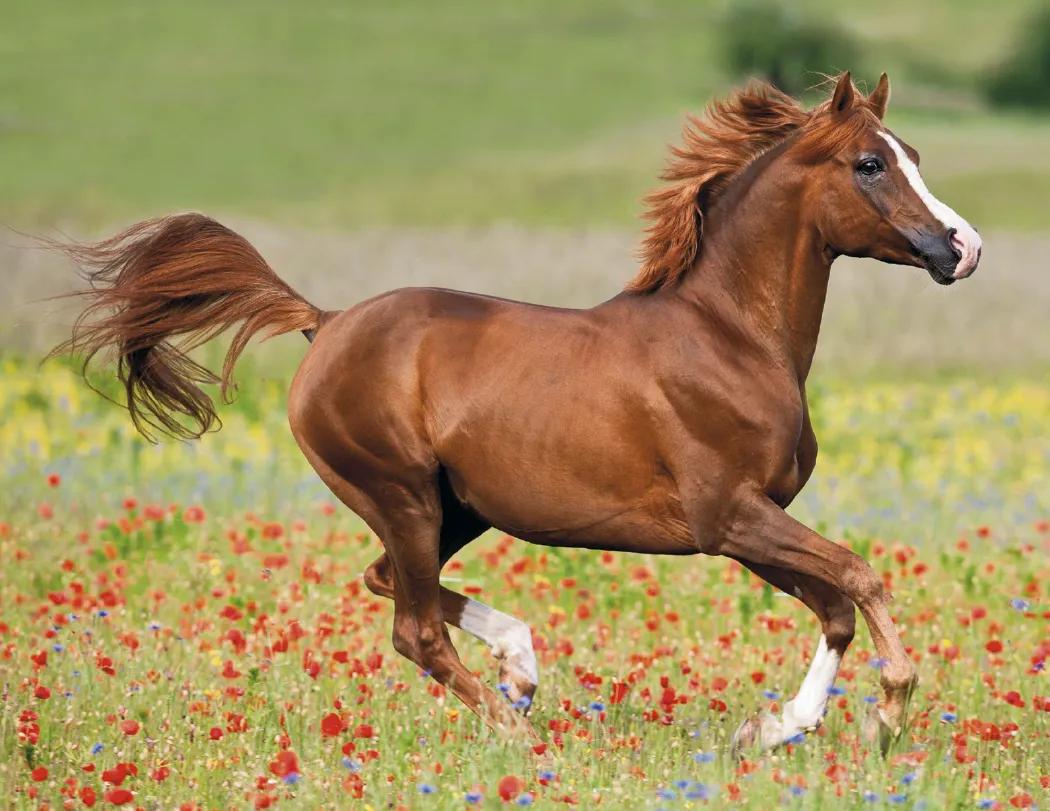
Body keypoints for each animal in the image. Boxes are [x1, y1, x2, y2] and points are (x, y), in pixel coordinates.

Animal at [51, 72, 982, 754]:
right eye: (870, 164)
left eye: (913, 153)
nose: (962, 247)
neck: (729, 337)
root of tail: (326, 321)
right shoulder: (730, 515)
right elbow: (860, 575)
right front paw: (888, 709)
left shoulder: (753, 523)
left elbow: (835, 605)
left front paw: (778, 725)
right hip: (402, 495)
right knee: (413, 627)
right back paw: (512, 724)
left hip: (453, 507)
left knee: (390, 585)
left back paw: (522, 670)